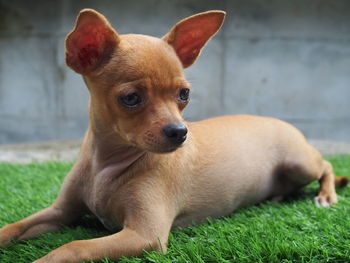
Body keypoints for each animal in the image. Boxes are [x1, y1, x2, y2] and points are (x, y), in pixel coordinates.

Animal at [0, 8, 348, 263]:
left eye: (184, 95)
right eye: (131, 98)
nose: (180, 133)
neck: (106, 165)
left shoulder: (145, 234)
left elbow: (74, 246)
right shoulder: (60, 212)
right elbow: (13, 226)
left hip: (299, 161)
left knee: (327, 165)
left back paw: (327, 196)